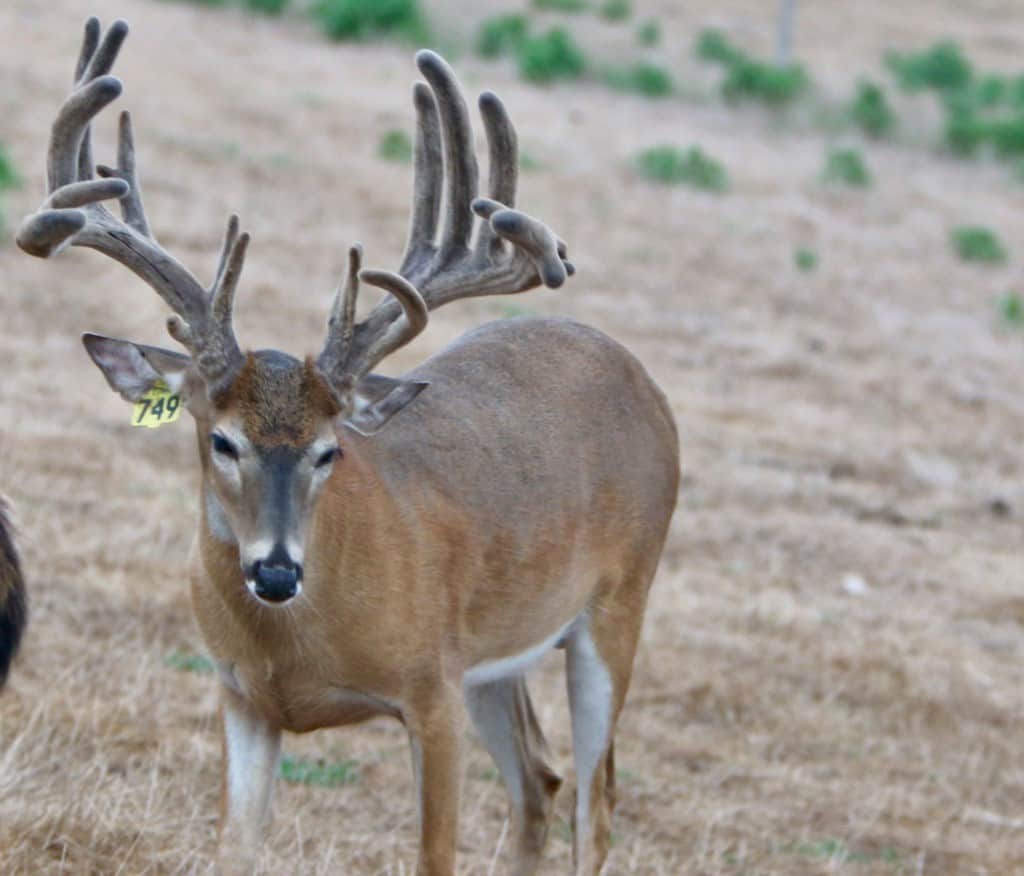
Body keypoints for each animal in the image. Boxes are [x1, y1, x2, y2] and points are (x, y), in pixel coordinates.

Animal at [17, 17, 679, 876]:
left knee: (595, 804)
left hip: (618, 602)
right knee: (541, 779)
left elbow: (435, 857)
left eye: (330, 450)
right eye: (221, 439)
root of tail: (641, 378)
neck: (298, 643)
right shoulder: (241, 697)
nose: (274, 571)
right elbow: (234, 850)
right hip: (497, 648)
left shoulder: (431, 689)